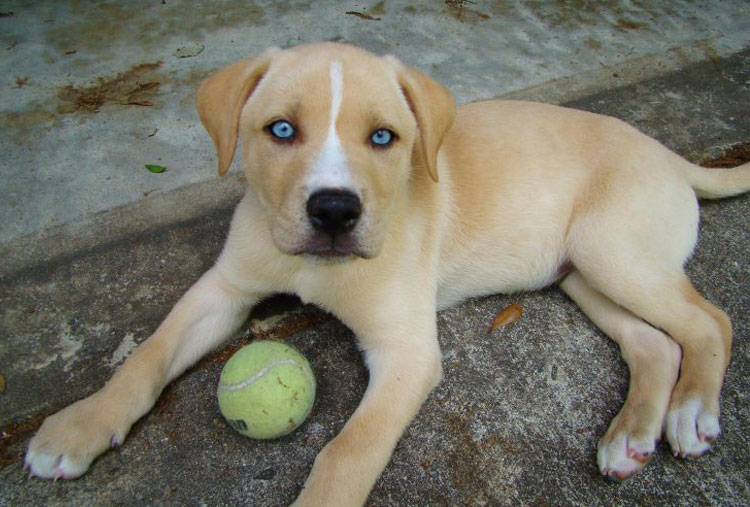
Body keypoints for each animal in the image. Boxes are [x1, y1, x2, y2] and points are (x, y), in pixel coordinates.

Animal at [25, 43, 750, 504]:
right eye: (280, 130)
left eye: (383, 138)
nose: (334, 210)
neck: (318, 267)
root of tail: (669, 154)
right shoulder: (224, 289)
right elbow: (147, 355)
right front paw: (80, 425)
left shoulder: (407, 351)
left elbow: (347, 452)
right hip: (581, 271)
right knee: (654, 342)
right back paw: (630, 437)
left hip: (612, 251)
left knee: (710, 320)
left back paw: (690, 414)